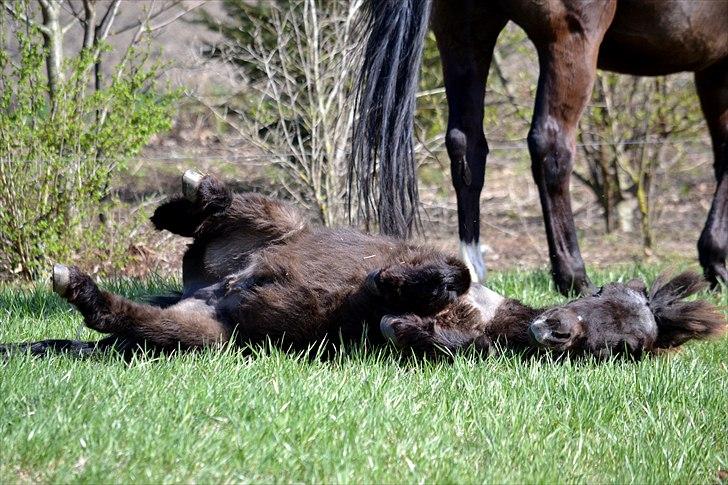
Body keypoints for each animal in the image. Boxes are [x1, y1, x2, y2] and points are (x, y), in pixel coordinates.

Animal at [1, 170, 723, 360]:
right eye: (599, 291)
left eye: (619, 347)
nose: (557, 330)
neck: (492, 319)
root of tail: (211, 291)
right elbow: (445, 272)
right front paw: (408, 282)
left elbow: (408, 326)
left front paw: (405, 315)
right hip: (272, 225)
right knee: (213, 210)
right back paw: (185, 197)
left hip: (205, 336)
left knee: (116, 319)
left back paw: (79, 288)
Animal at [351, 0, 728, 295]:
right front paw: (716, 261)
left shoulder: (712, 69)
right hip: (568, 39)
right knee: (551, 146)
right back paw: (575, 278)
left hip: (462, 30)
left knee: (465, 143)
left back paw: (474, 269)